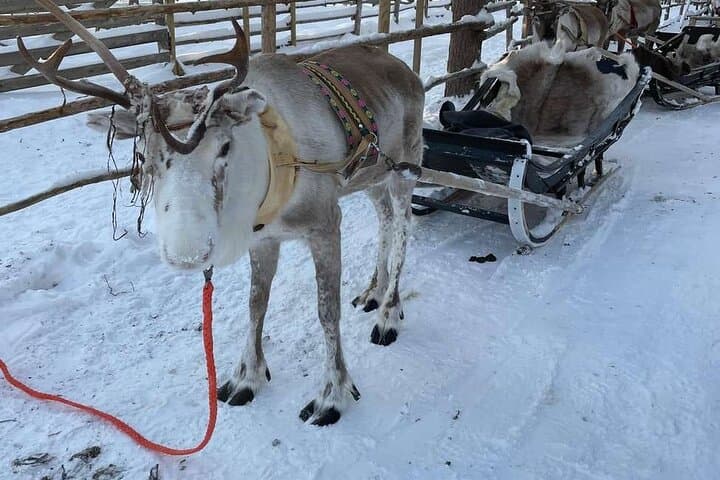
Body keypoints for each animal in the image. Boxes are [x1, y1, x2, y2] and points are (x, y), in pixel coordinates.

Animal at [20, 0, 425, 426]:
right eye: (144, 156)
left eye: (224, 147)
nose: (187, 254)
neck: (270, 160)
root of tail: (404, 68)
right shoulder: (264, 237)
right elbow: (256, 303)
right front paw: (246, 376)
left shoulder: (325, 223)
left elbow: (326, 311)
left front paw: (332, 395)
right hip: (372, 176)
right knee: (384, 218)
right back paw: (373, 291)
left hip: (406, 163)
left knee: (403, 225)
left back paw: (389, 312)